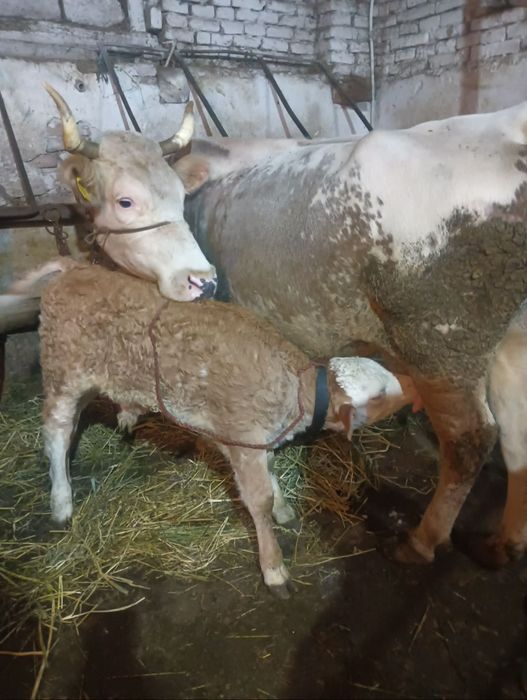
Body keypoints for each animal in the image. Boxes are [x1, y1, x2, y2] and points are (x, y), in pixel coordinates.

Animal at [13, 259, 418, 596]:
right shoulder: (243, 437)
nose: (414, 395)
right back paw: (62, 500)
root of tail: (75, 267)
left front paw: (284, 509)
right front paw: (273, 568)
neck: (293, 388)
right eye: (380, 396)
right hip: (64, 372)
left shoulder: (256, 440)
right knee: (56, 433)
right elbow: (259, 501)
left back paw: (126, 417)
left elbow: (271, 475)